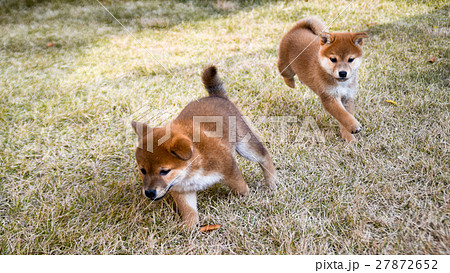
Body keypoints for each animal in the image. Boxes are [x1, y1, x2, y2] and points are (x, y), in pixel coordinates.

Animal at [131, 65, 278, 226]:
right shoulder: (181, 189)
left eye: (164, 171)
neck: (193, 168)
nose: (149, 193)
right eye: (143, 170)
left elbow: (241, 188)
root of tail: (216, 96)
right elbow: (189, 211)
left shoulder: (229, 168)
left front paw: (246, 199)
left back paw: (272, 181)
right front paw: (189, 228)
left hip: (245, 145)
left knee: (264, 156)